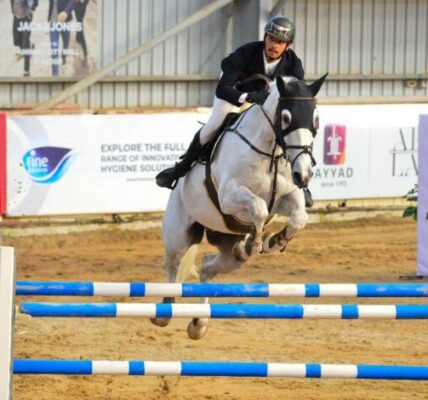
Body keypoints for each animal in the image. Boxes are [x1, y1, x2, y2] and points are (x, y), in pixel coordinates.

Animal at [153, 74, 328, 338]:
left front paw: (275, 241)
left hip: (229, 251)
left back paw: (199, 323)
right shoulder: (229, 196)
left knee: (209, 267)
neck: (271, 153)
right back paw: (165, 311)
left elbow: (298, 217)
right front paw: (256, 242)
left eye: (315, 118)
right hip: (179, 233)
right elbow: (258, 207)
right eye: (286, 118)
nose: (304, 174)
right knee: (172, 264)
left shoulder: (287, 197)